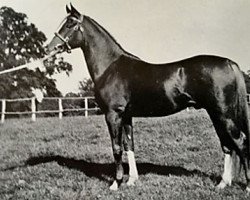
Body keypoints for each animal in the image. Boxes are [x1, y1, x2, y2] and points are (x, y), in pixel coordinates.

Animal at [46, 4, 249, 191]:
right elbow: (129, 145)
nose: (49, 48)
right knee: (227, 145)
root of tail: (229, 63)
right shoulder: (126, 116)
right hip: (216, 114)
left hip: (223, 114)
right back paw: (223, 183)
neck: (110, 67)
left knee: (240, 142)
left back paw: (246, 186)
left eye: (70, 23)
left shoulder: (113, 115)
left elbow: (117, 148)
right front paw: (131, 180)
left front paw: (116, 183)